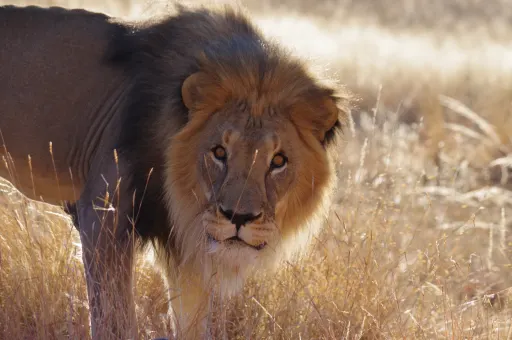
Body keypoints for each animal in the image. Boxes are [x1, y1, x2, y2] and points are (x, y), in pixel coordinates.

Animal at [0, 3, 348, 340]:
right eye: (219, 153)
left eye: (278, 161)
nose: (238, 217)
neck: (179, 196)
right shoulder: (101, 216)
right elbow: (114, 321)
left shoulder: (189, 251)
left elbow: (192, 323)